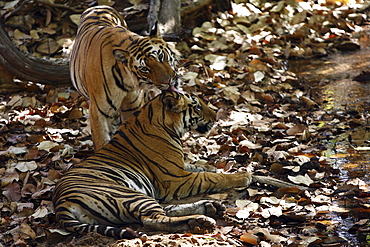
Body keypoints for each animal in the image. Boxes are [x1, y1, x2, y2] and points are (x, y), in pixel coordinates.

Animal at [51, 90, 304, 239]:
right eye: (198, 106)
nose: (216, 116)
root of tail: (60, 202)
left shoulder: (181, 167)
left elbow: (203, 167)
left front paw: (216, 166)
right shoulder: (176, 178)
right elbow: (214, 177)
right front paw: (243, 175)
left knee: (164, 210)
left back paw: (210, 207)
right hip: (126, 193)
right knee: (154, 218)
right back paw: (203, 219)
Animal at [70, 5, 181, 151]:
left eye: (161, 56)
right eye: (145, 69)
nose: (167, 81)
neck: (127, 82)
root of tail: (99, 6)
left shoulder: (133, 106)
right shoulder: (98, 111)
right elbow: (102, 141)